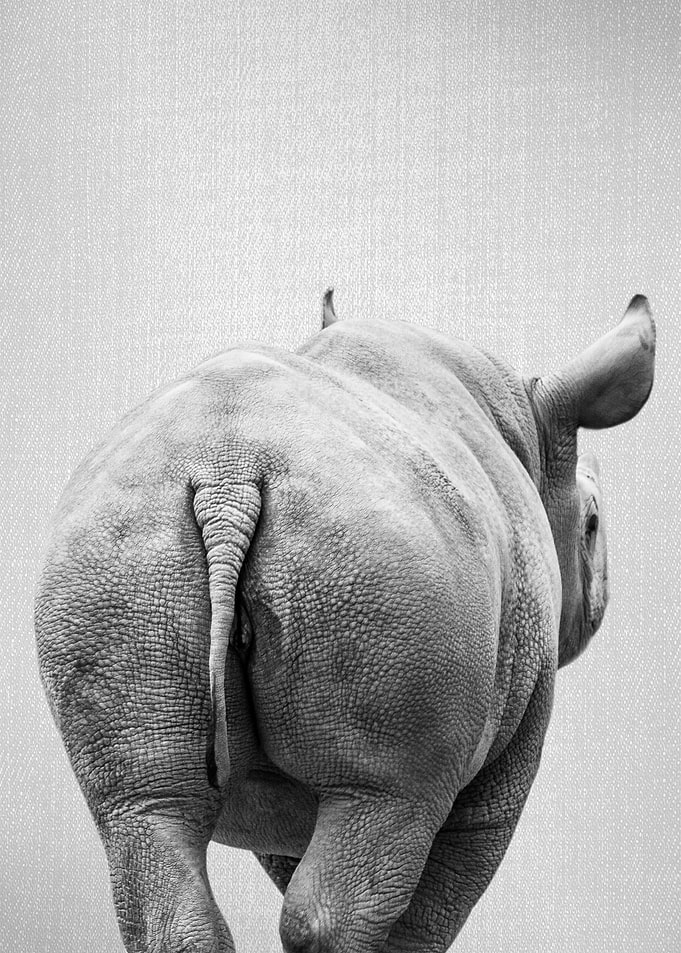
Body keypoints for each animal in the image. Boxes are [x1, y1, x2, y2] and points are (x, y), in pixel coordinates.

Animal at [35, 292, 655, 953]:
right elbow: (438, 896)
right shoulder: (504, 744)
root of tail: (226, 474)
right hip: (380, 565)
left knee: (145, 811)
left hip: (117, 557)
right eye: (593, 524)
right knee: (378, 811)